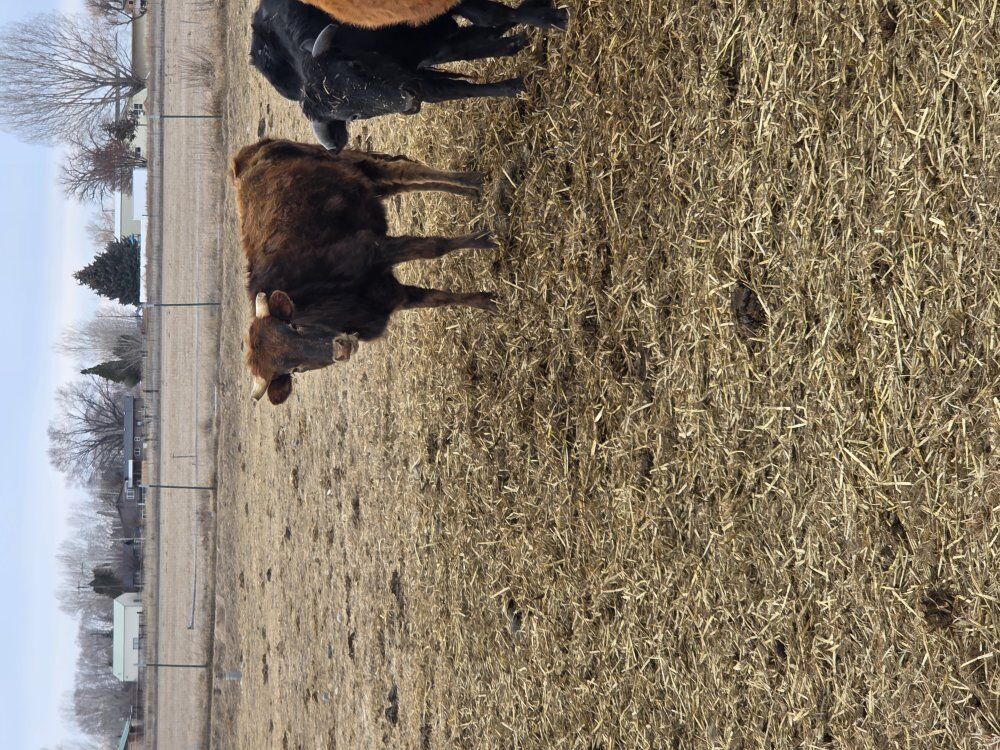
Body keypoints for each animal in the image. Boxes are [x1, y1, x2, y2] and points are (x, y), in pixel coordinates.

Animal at [231, 138, 499, 405]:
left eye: (294, 326)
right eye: (295, 369)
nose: (342, 349)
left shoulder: (374, 248)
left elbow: (434, 248)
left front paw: (482, 240)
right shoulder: (389, 296)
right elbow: (437, 298)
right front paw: (486, 302)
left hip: (358, 163)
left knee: (406, 171)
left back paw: (471, 181)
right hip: (368, 183)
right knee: (405, 184)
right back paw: (468, 192)